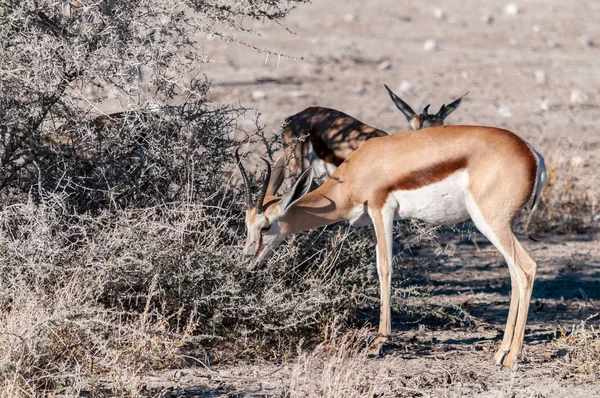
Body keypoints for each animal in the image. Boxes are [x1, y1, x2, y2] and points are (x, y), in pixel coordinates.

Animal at [237, 126, 548, 368]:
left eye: (266, 226)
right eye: (246, 224)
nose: (248, 260)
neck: (358, 172)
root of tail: (533, 154)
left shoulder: (380, 209)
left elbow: (384, 267)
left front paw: (378, 342)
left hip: (490, 222)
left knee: (526, 269)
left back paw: (512, 357)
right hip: (497, 227)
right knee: (515, 273)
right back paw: (500, 352)